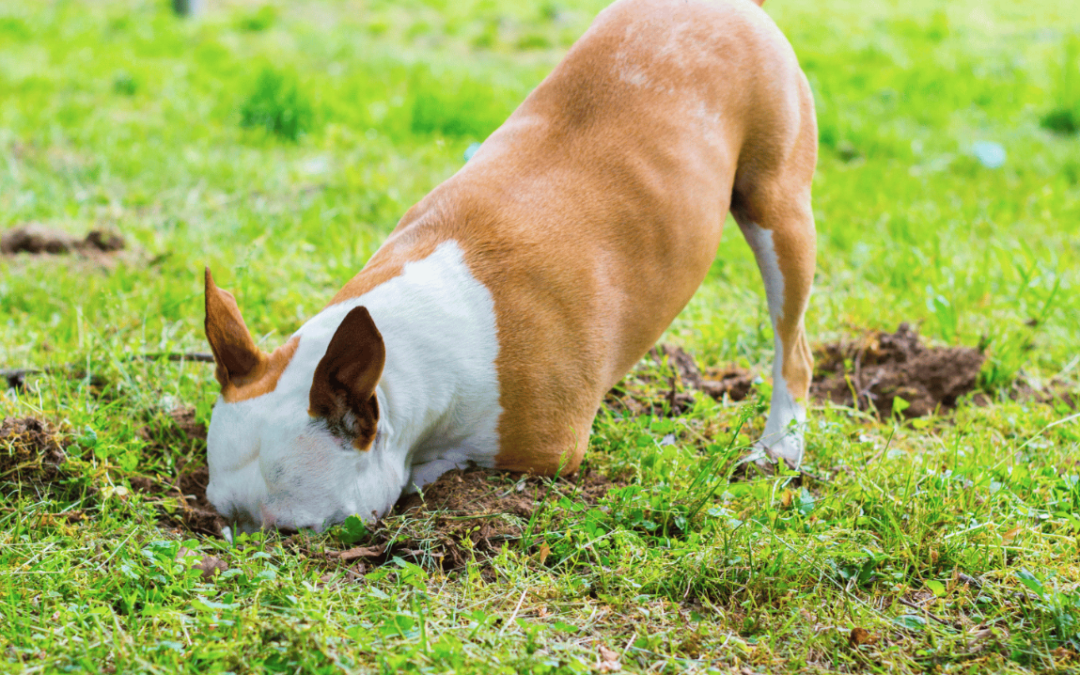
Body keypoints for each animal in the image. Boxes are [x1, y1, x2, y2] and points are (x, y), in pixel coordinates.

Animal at [203, 0, 812, 531]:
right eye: (220, 518)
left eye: (295, 534)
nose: (243, 540)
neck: (412, 343)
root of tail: (733, 6)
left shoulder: (545, 451)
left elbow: (432, 470)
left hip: (778, 213)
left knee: (794, 348)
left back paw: (781, 444)